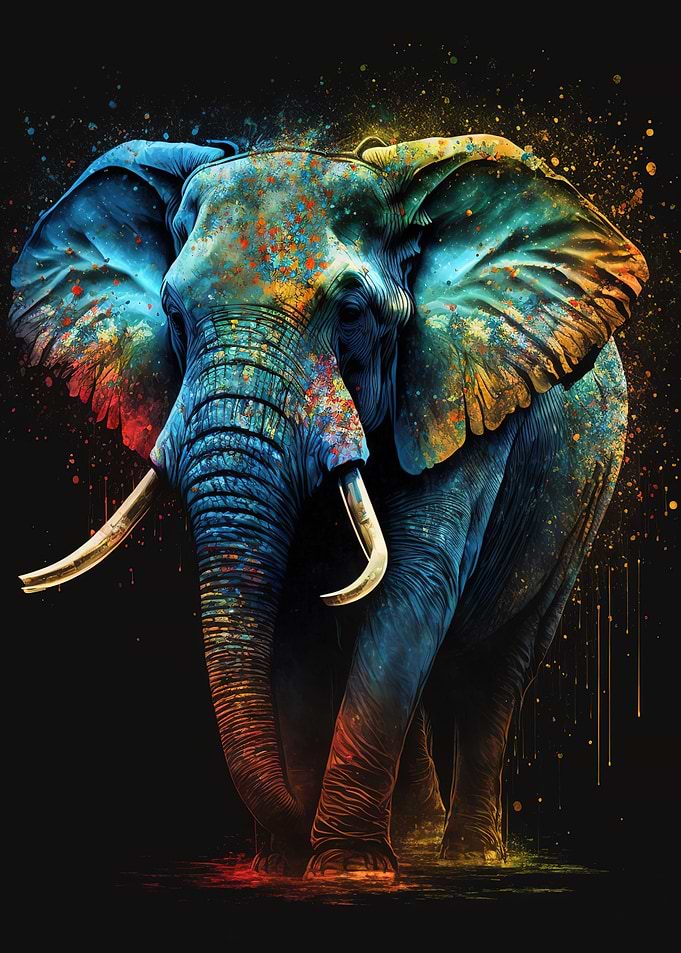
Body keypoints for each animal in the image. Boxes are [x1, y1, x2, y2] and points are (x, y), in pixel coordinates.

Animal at [9, 133, 648, 881]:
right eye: (172, 315)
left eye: (351, 313)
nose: (290, 833)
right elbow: (295, 613)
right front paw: (291, 865)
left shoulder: (458, 397)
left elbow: (413, 586)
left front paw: (347, 867)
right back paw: (415, 843)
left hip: (585, 494)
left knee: (500, 667)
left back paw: (468, 854)